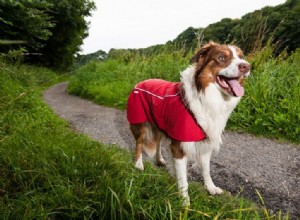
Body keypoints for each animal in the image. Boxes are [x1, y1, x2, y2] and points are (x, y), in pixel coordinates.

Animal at [126, 42, 251, 205]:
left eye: (241, 57)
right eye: (222, 58)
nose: (246, 66)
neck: (205, 96)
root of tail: (141, 82)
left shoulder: (204, 141)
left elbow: (206, 170)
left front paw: (210, 188)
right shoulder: (179, 147)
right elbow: (183, 179)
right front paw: (185, 202)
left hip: (159, 122)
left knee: (158, 142)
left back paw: (159, 159)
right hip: (141, 124)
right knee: (139, 143)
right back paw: (138, 164)